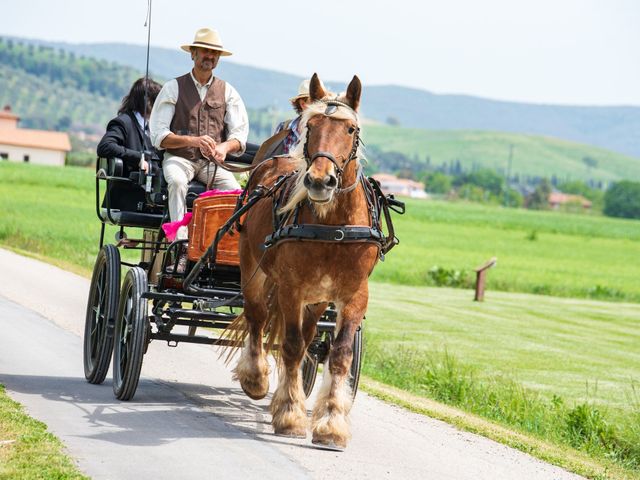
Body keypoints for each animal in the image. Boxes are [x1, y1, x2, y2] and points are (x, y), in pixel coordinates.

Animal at [231, 73, 378, 448]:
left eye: (351, 129)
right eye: (312, 126)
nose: (319, 180)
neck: (333, 227)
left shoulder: (354, 294)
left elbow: (340, 355)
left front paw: (331, 423)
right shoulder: (291, 288)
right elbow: (292, 345)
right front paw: (290, 414)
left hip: (317, 298)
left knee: (308, 337)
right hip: (254, 268)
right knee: (258, 317)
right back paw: (257, 379)